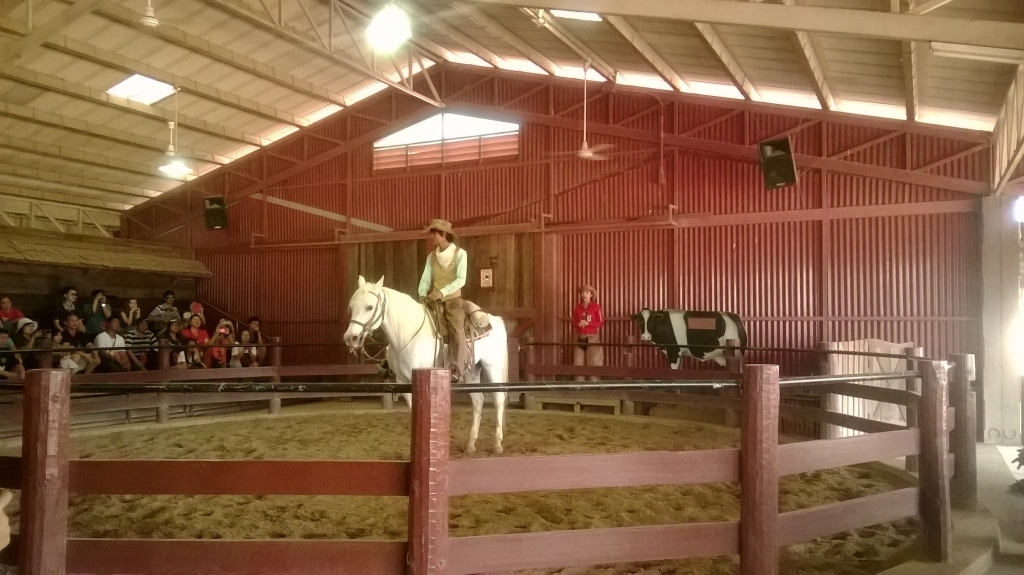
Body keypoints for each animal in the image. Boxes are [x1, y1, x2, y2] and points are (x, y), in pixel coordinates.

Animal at [344, 276, 507, 454]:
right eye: (351, 307)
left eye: (370, 307)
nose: (350, 338)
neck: (408, 333)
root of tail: (495, 320)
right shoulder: (403, 382)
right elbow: (413, 412)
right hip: (472, 370)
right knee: (478, 400)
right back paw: (471, 444)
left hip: (493, 367)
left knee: (498, 399)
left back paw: (497, 444)